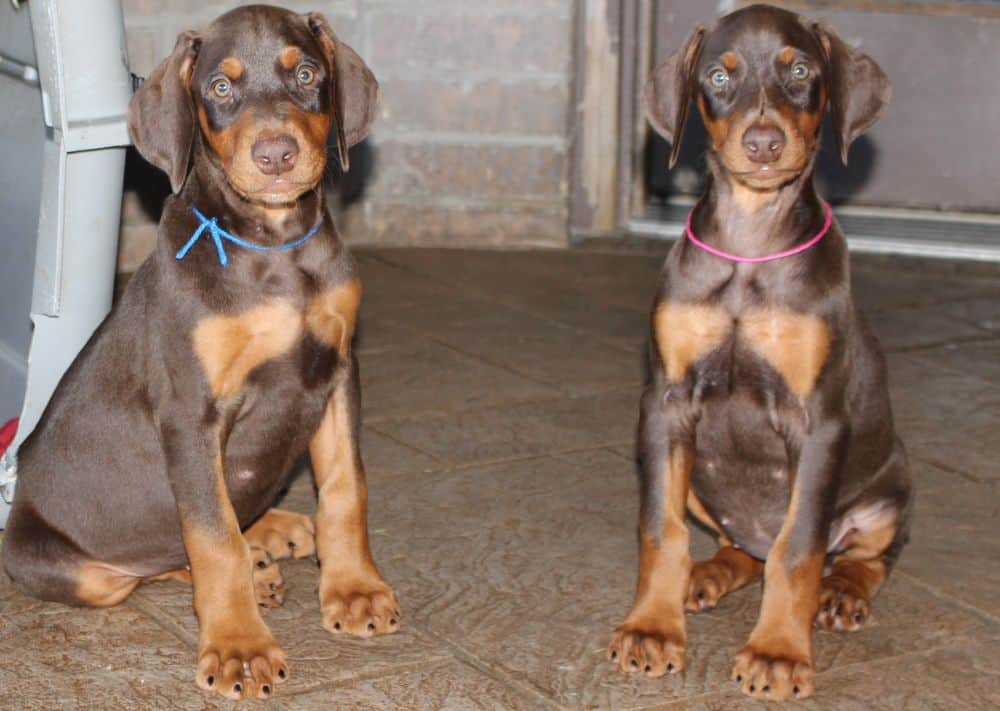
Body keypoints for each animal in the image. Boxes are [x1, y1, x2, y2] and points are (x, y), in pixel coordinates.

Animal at [0, 2, 398, 700]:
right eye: (219, 87)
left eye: (306, 74)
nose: (276, 154)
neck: (273, 246)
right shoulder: (191, 413)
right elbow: (211, 538)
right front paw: (239, 648)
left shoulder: (336, 371)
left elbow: (347, 487)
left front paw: (354, 591)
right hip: (64, 566)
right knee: (150, 562)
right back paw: (254, 570)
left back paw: (272, 529)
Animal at [608, 2, 916, 700]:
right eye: (719, 78)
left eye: (800, 70)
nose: (764, 143)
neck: (749, 246)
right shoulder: (665, 405)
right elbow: (659, 529)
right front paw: (651, 629)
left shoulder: (819, 423)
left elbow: (797, 549)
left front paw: (778, 653)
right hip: (700, 478)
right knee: (741, 550)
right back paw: (706, 575)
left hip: (890, 488)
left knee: (861, 556)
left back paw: (841, 594)